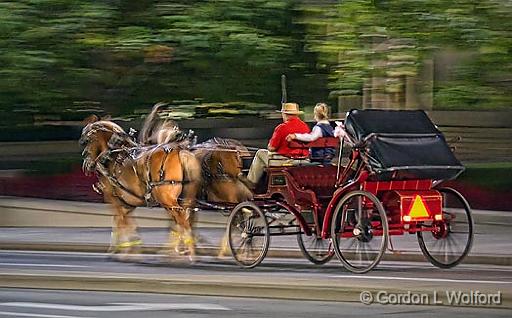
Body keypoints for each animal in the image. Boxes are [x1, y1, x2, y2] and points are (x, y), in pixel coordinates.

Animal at [79, 115, 201, 260]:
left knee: (182, 220)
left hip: (166, 198)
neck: (113, 155)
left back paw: (186, 252)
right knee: (185, 218)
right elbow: (123, 222)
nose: (87, 164)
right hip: (184, 197)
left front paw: (126, 250)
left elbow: (122, 222)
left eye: (88, 140)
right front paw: (125, 247)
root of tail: (179, 151)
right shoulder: (128, 202)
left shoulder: (113, 198)